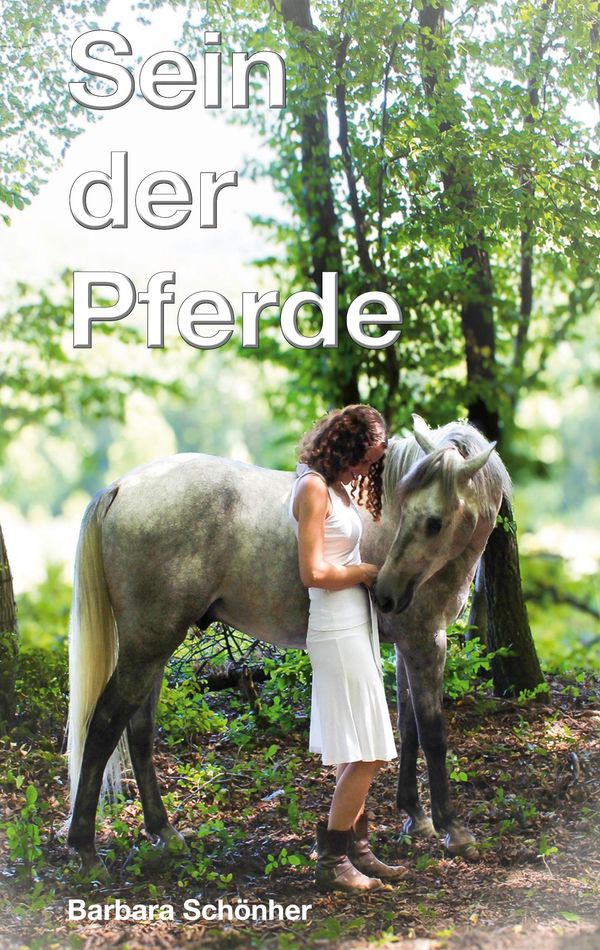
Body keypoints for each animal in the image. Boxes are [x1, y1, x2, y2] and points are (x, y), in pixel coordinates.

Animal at [65, 415, 510, 872]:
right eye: (415, 514)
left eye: (433, 521)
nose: (385, 593)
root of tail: (122, 487)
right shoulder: (425, 642)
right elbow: (433, 733)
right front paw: (453, 830)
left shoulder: (408, 644)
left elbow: (409, 727)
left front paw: (416, 818)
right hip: (147, 644)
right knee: (104, 723)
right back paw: (85, 848)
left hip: (154, 647)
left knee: (139, 729)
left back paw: (164, 832)